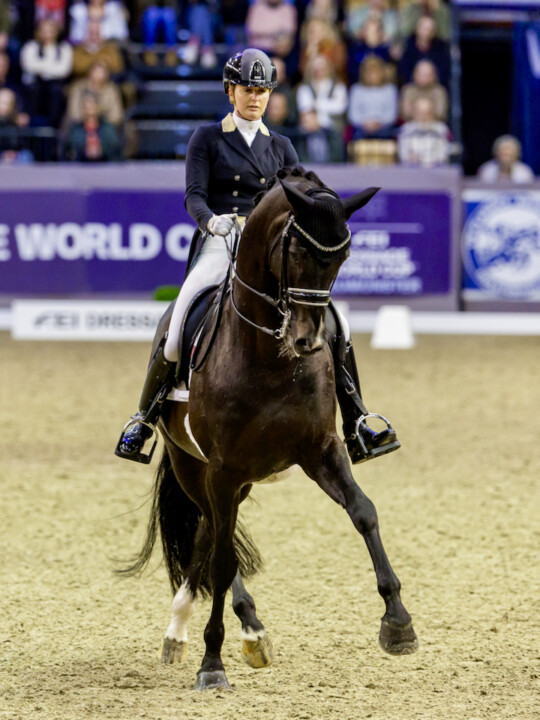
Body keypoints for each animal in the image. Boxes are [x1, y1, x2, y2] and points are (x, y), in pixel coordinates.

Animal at [125, 166, 418, 688]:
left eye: (343, 255)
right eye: (297, 251)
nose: (308, 341)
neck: (269, 357)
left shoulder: (320, 449)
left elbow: (364, 512)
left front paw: (398, 624)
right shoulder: (223, 468)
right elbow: (224, 561)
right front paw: (212, 664)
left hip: (236, 480)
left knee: (208, 529)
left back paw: (201, 629)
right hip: (193, 465)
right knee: (214, 535)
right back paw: (219, 631)